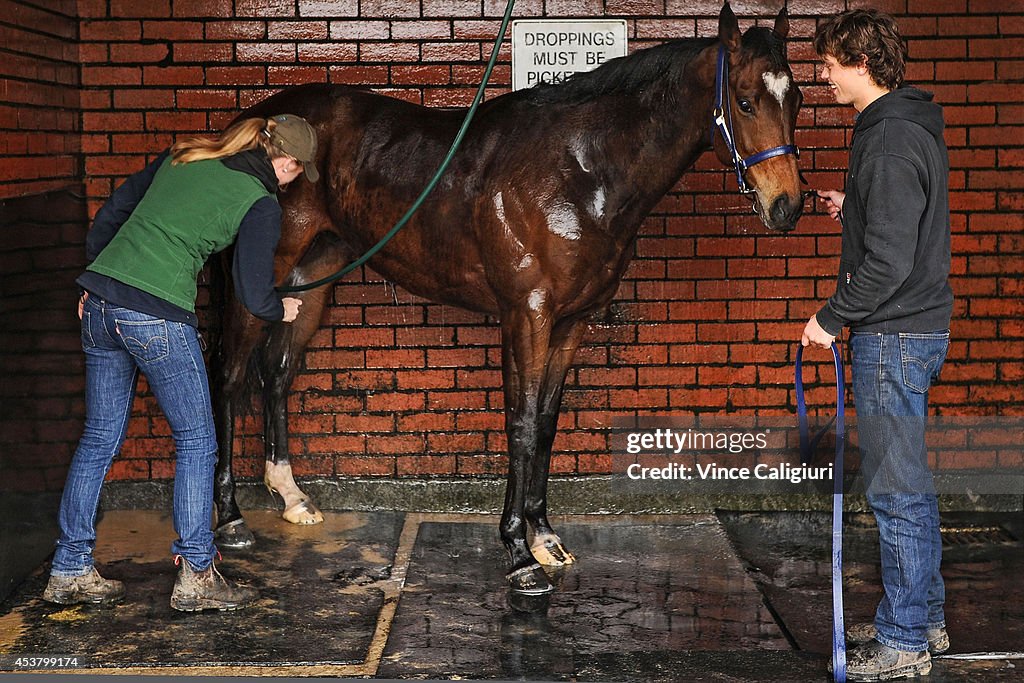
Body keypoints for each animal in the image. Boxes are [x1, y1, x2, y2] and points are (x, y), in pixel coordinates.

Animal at [211, 2, 806, 593]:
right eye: (745, 101)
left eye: (796, 98)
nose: (787, 206)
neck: (579, 172)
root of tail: (255, 123)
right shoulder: (527, 315)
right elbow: (519, 424)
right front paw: (519, 552)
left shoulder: (571, 321)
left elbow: (544, 423)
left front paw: (545, 538)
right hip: (260, 278)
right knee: (230, 377)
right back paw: (230, 518)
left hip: (313, 275)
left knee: (277, 371)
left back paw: (292, 497)